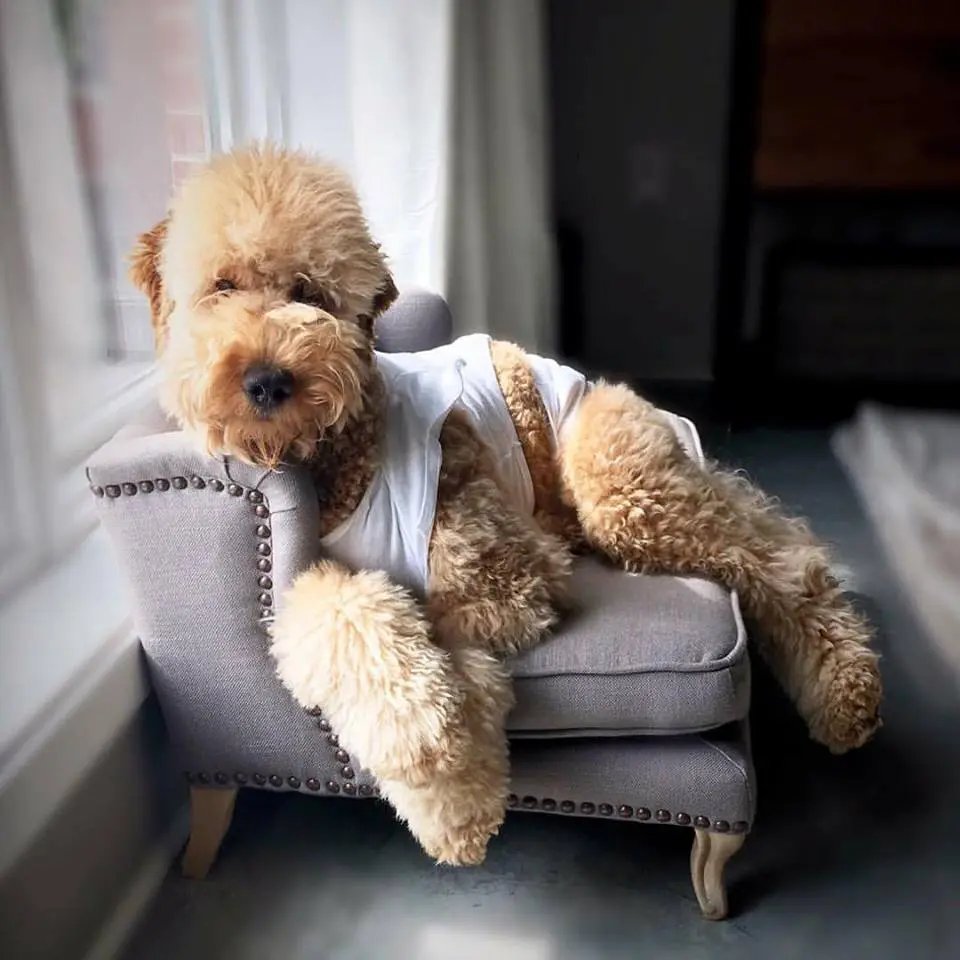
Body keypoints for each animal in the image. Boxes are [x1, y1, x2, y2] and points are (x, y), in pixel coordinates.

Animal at [129, 144, 884, 872]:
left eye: (309, 293)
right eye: (222, 286)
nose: (266, 381)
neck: (342, 452)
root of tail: (616, 391)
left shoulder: (508, 575)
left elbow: (416, 631)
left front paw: (447, 775)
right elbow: (349, 613)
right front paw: (456, 792)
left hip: (620, 487)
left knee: (782, 558)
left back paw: (848, 695)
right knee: (763, 535)